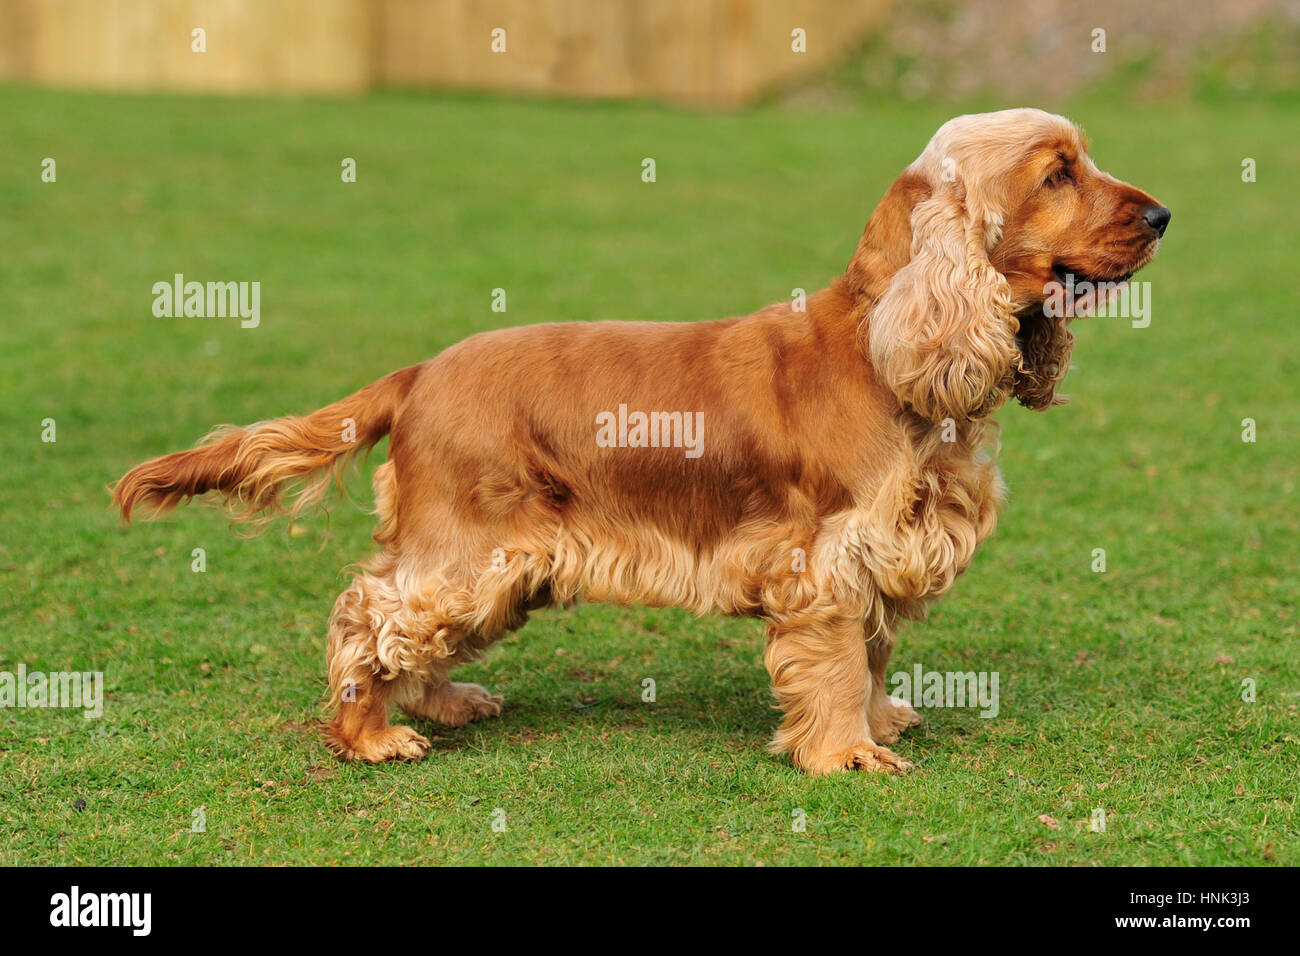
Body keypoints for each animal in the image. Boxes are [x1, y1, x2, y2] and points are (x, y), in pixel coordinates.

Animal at [111, 108, 1170, 775]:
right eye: (1057, 174)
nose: (1164, 215)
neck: (888, 343)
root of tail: (420, 372)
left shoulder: (880, 553)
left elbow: (872, 655)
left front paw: (880, 721)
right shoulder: (826, 558)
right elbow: (836, 663)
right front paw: (846, 754)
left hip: (503, 567)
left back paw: (444, 702)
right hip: (469, 550)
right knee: (368, 613)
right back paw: (371, 736)